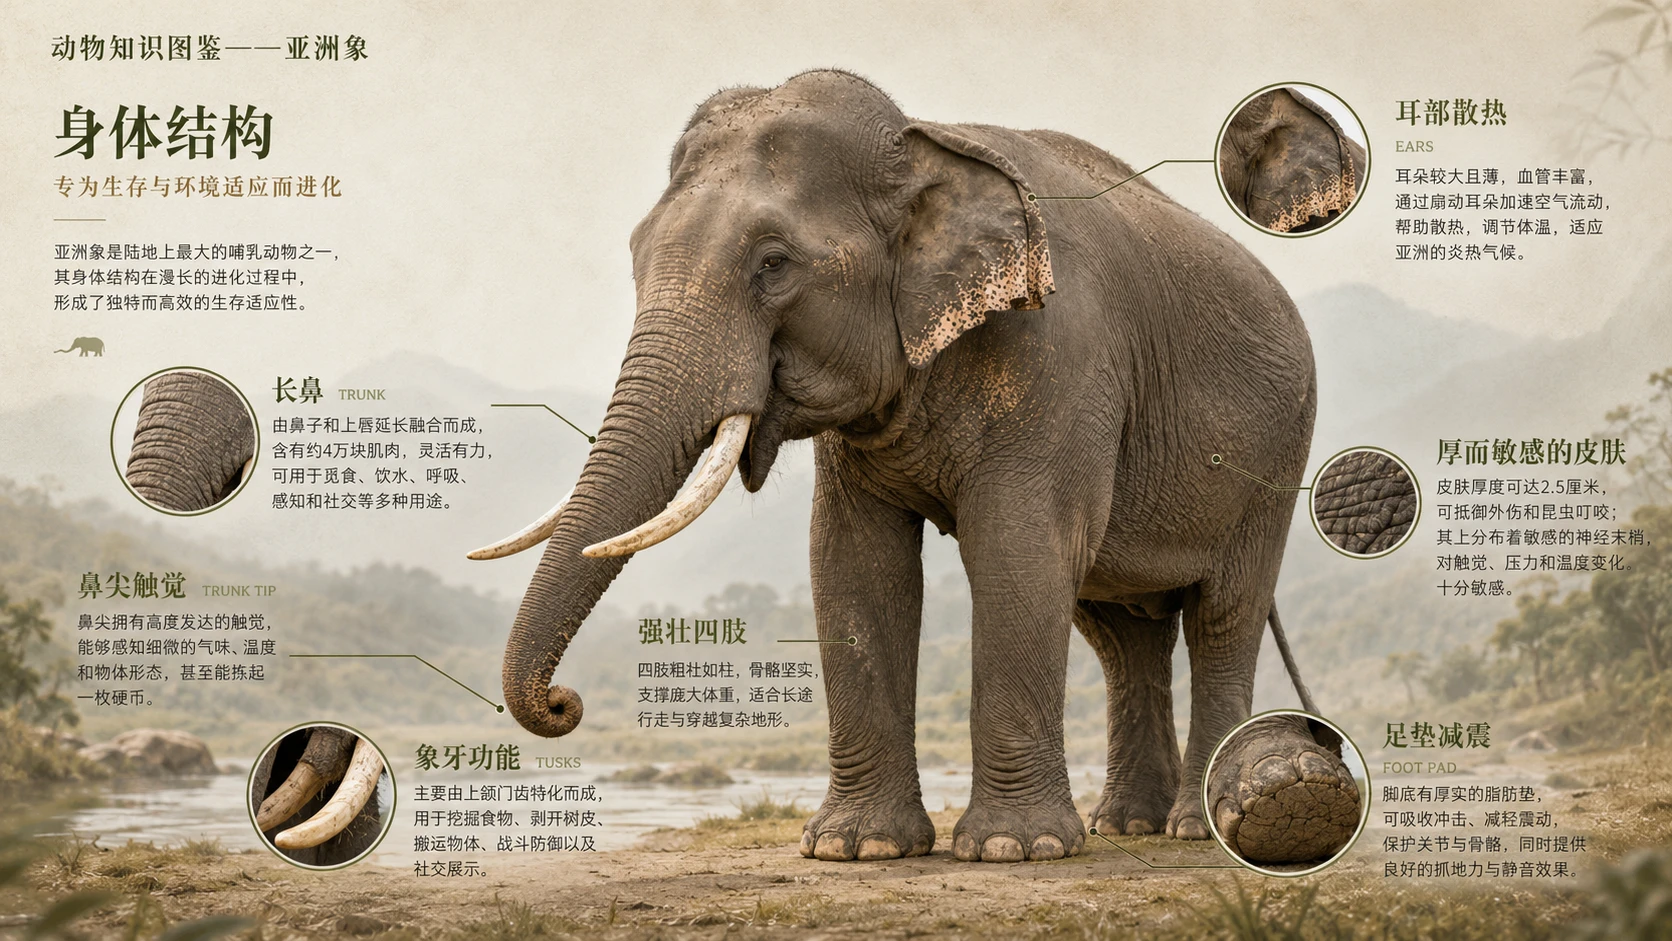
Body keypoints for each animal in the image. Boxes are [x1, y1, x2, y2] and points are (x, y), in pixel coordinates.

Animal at [472, 69, 1335, 862]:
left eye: (774, 263)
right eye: (634, 256)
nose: (562, 701)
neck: (924, 142)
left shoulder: (1061, 358)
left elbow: (1020, 547)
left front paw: (1012, 848)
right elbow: (855, 562)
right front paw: (857, 847)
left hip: (1277, 454)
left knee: (1222, 613)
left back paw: (1198, 827)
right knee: (1121, 632)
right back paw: (1126, 825)